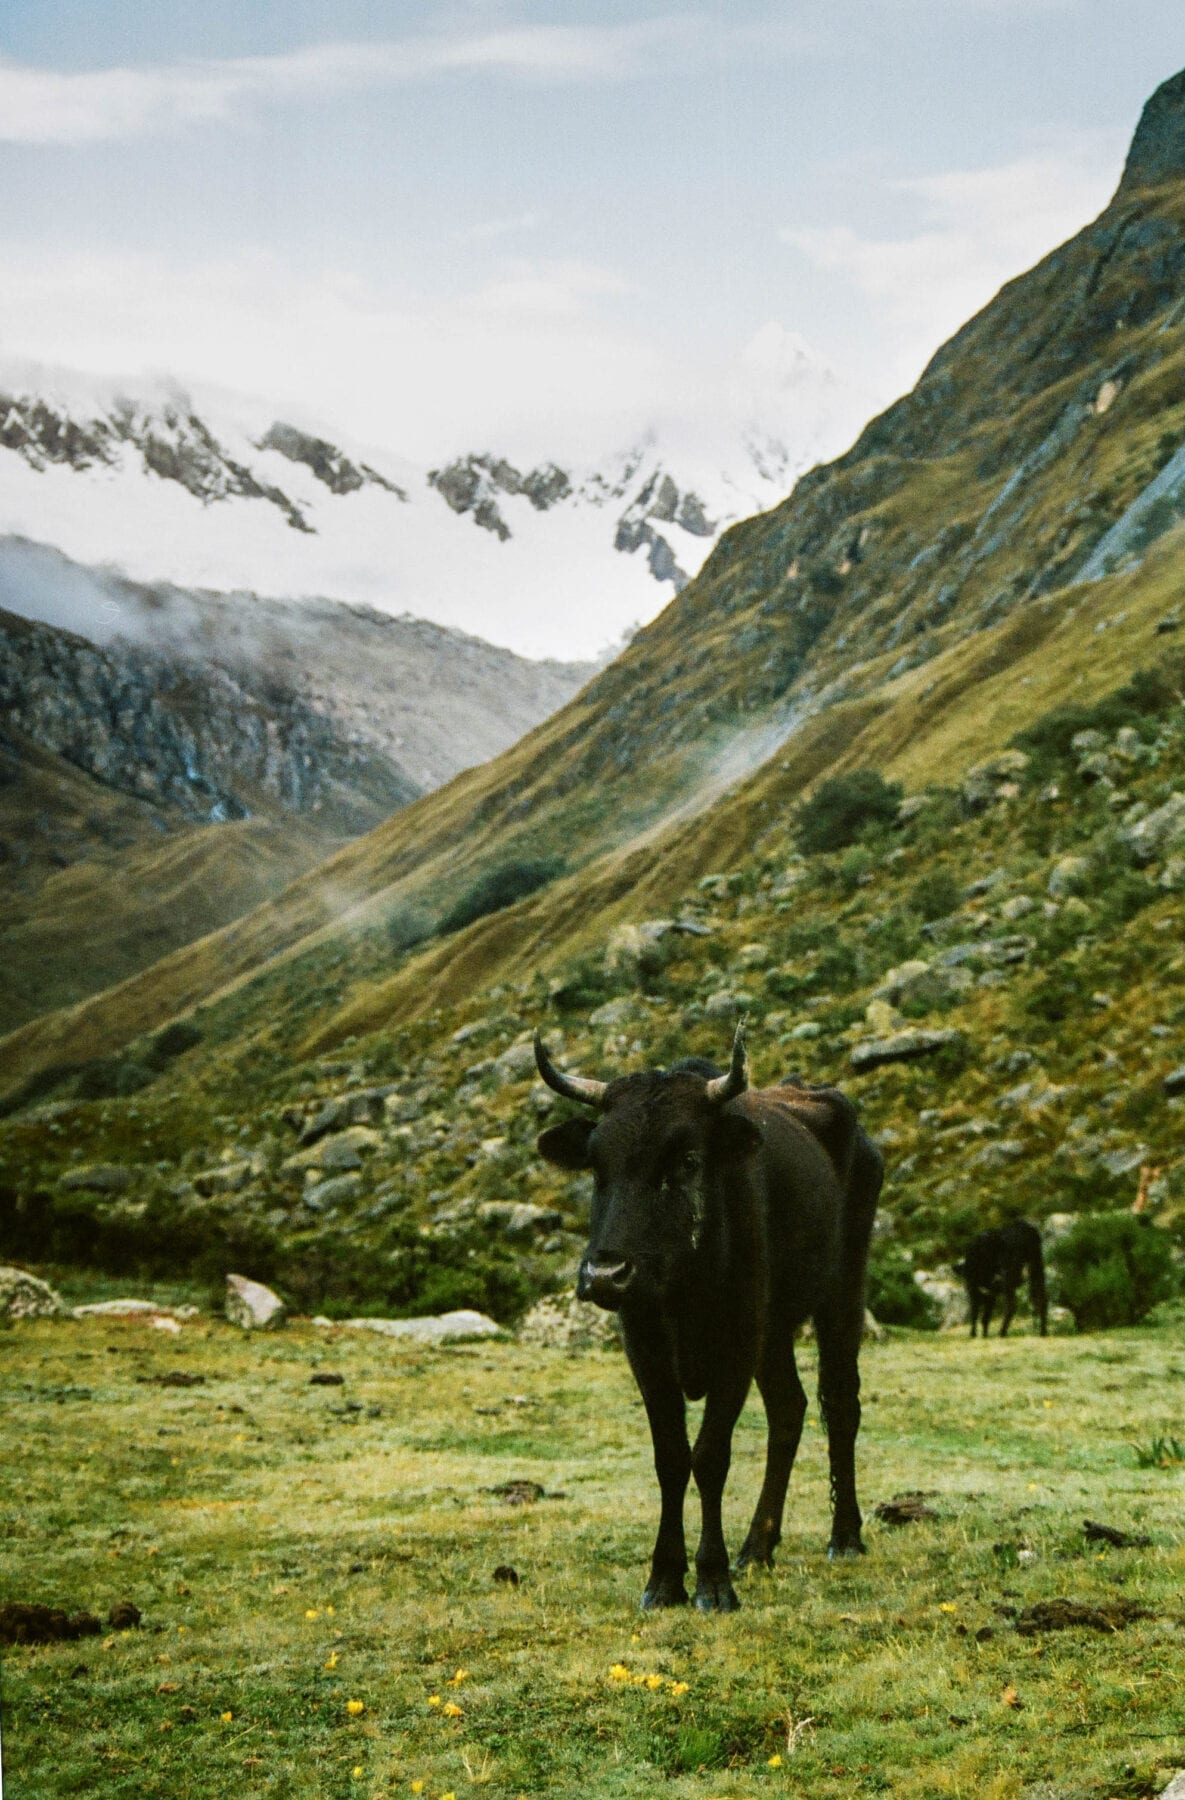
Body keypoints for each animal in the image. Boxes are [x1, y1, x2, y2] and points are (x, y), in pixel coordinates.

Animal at [533, 1029, 875, 1620]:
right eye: (597, 1166)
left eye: (687, 1161)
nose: (604, 1274)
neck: (682, 1290)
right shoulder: (646, 1349)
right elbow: (671, 1458)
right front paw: (665, 1579)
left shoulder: (736, 1345)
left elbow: (711, 1457)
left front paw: (712, 1583)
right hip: (774, 1331)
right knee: (789, 1410)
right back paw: (758, 1546)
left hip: (841, 1295)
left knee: (839, 1403)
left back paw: (845, 1536)